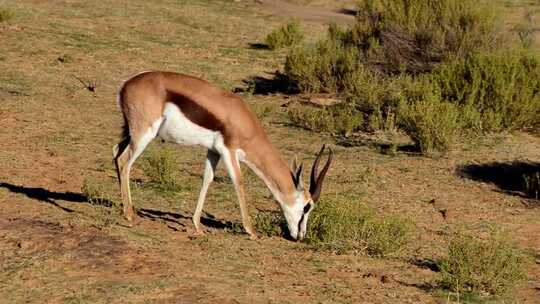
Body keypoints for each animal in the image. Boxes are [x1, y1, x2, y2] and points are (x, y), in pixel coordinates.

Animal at [112, 71, 332, 240]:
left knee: (115, 152)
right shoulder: (229, 151)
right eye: (307, 207)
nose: (300, 236)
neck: (242, 120)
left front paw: (197, 225)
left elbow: (207, 180)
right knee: (124, 161)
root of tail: (126, 85)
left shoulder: (214, 151)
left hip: (131, 133)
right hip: (144, 134)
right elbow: (239, 182)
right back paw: (129, 215)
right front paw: (251, 231)